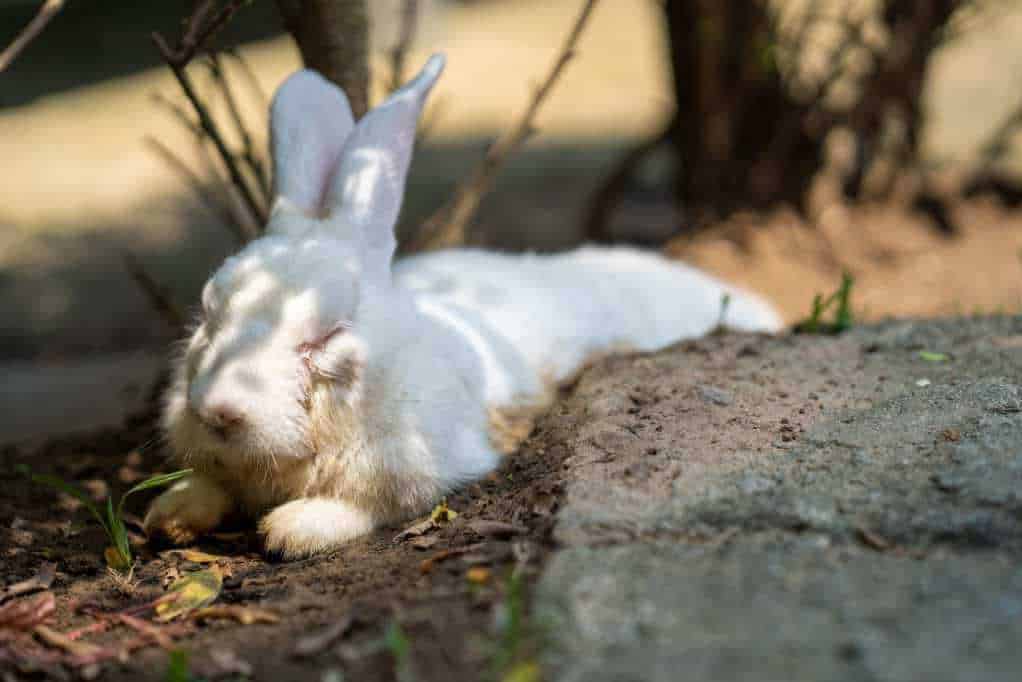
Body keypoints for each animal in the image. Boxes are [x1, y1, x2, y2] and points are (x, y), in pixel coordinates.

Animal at [144, 52, 780, 556]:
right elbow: (210, 485)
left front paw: (292, 529)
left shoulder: (425, 466)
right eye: (208, 309)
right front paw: (170, 515)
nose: (218, 412)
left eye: (328, 333)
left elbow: (367, 507)